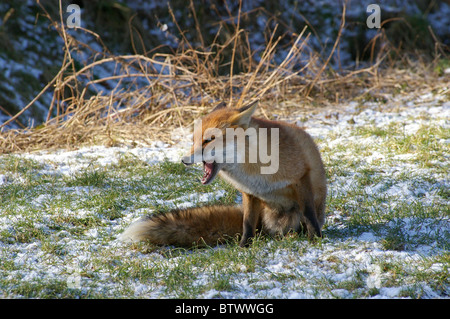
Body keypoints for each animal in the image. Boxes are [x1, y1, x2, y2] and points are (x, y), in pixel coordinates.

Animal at [120, 102, 326, 248]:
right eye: (194, 141)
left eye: (208, 140)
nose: (184, 160)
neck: (255, 169)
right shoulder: (249, 193)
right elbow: (247, 224)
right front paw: (244, 247)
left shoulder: (301, 177)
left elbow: (309, 214)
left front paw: (315, 239)